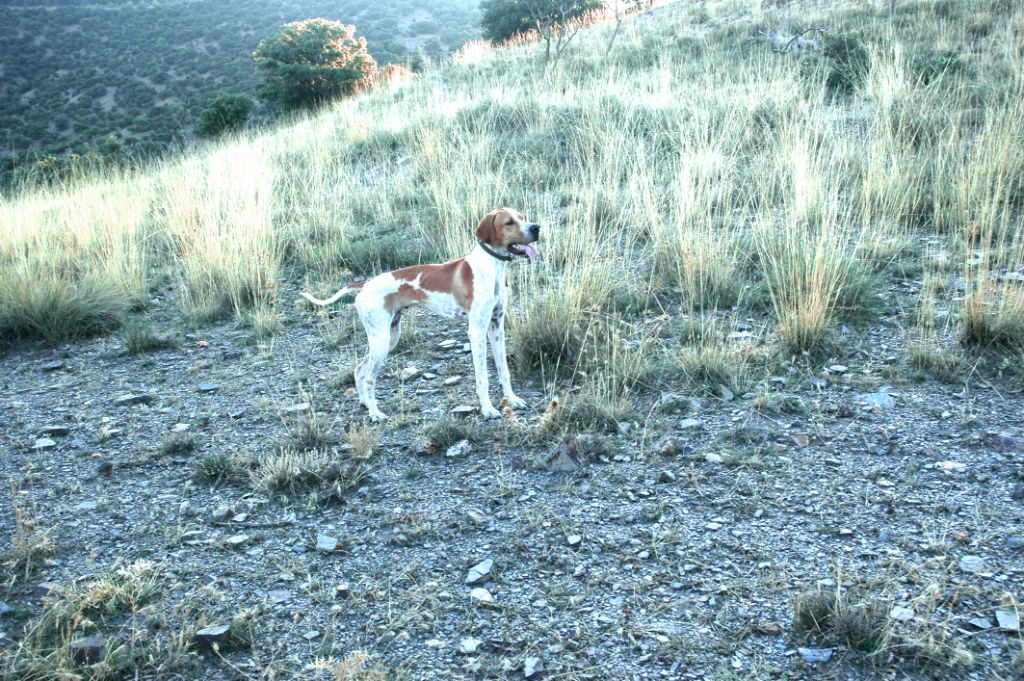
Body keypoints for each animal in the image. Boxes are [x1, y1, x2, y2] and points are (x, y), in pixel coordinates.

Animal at [301, 206, 544, 419]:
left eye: (522, 217)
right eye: (509, 222)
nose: (536, 227)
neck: (490, 267)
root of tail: (366, 284)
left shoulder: (496, 326)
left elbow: (504, 371)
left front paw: (512, 399)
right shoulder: (476, 331)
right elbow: (482, 377)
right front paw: (488, 410)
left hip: (389, 336)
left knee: (360, 369)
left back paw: (365, 404)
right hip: (381, 341)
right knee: (369, 377)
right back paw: (375, 414)